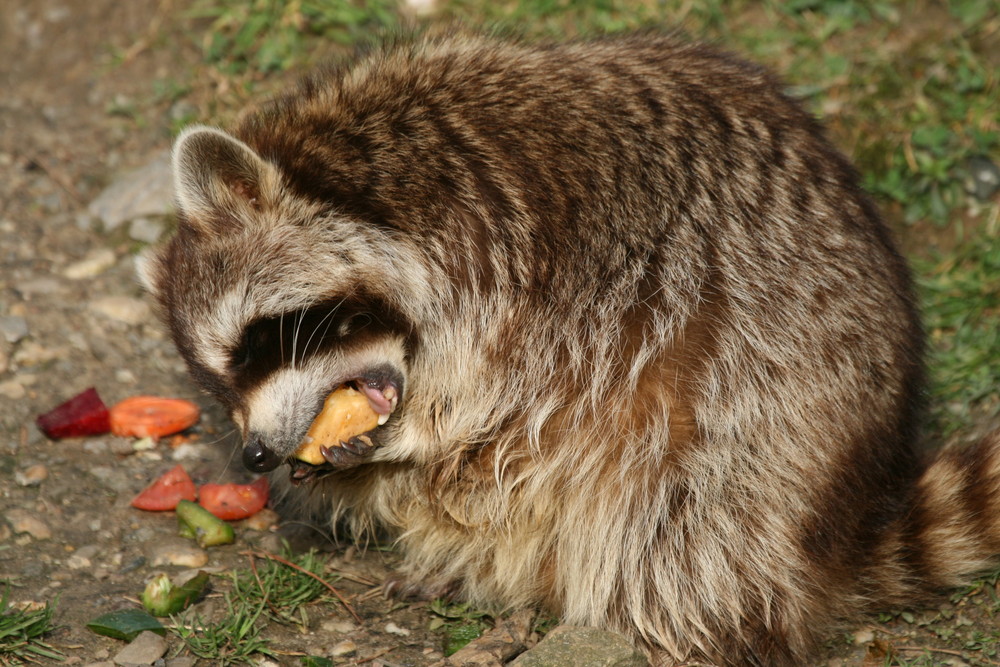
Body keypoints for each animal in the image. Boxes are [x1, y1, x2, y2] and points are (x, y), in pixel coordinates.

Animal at [139, 32, 1000, 667]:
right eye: (217, 385)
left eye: (260, 340)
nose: (254, 455)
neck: (378, 186)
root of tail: (842, 519)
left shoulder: (542, 259)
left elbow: (509, 388)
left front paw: (422, 430)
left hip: (775, 409)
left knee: (683, 509)